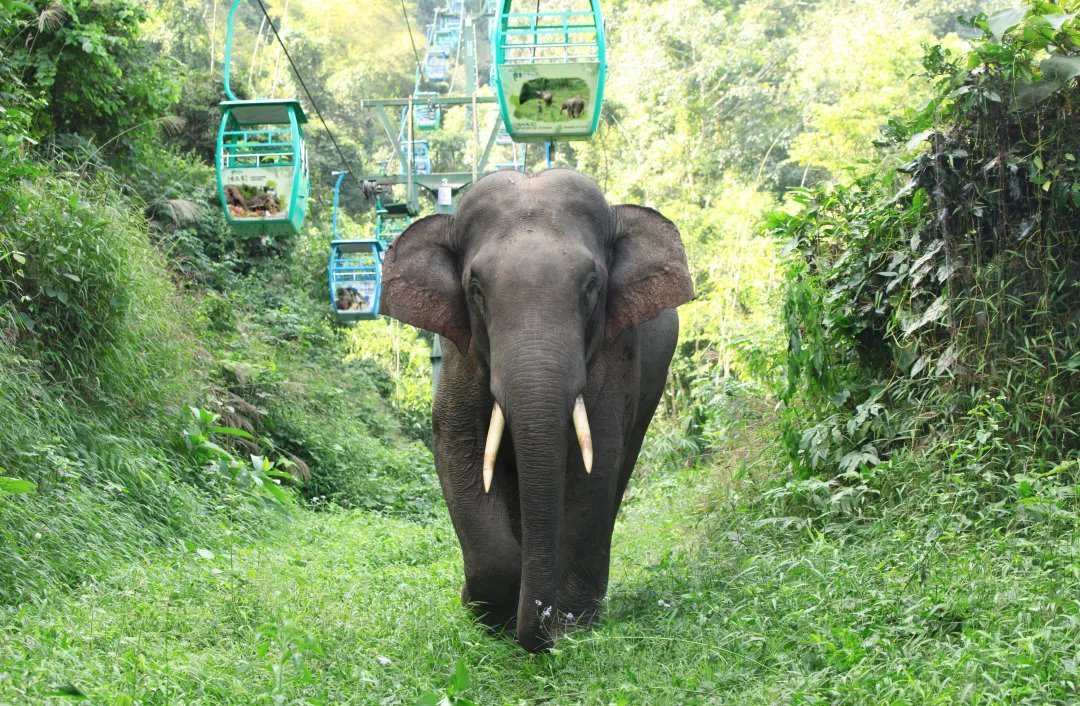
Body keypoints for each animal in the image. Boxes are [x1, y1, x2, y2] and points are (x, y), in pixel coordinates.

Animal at [380, 167, 695, 652]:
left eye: (592, 284)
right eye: (475, 288)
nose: (543, 625)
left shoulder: (617, 351)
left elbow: (595, 463)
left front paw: (571, 626)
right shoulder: (460, 353)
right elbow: (458, 448)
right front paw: (489, 613)